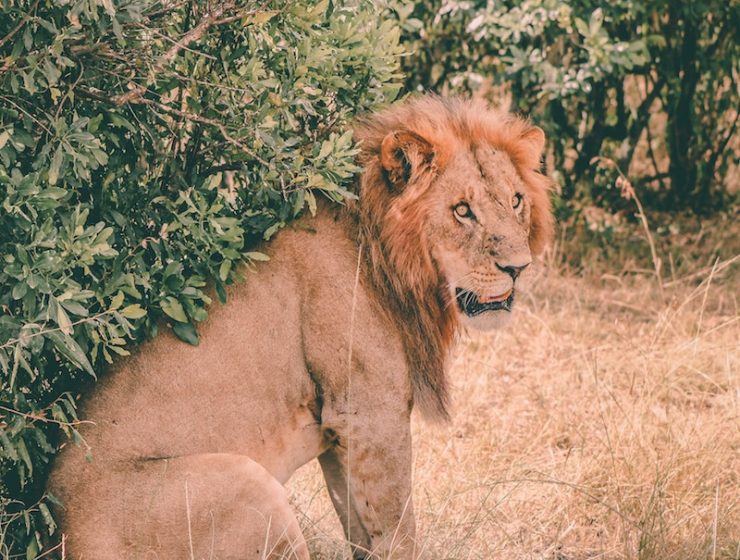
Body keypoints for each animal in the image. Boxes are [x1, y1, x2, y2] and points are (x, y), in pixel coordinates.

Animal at [48, 96, 553, 559]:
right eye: (462, 211)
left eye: (516, 201)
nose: (518, 268)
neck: (389, 259)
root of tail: (56, 527)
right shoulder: (371, 413)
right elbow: (401, 530)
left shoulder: (342, 431)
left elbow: (363, 530)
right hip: (250, 485)